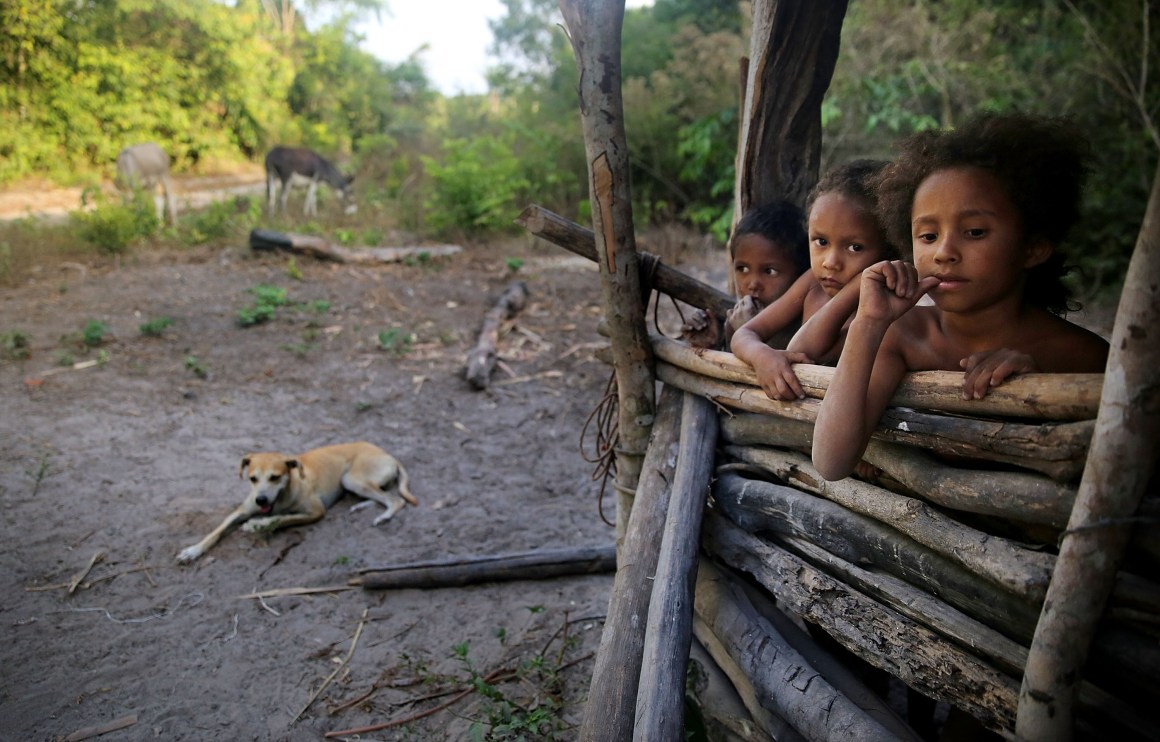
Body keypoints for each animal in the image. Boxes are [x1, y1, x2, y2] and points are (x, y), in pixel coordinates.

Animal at [176, 440, 417, 561]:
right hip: (355, 484)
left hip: (352, 479)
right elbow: (215, 532)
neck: (281, 497)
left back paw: (383, 517)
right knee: (383, 497)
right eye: (252, 478)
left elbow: (283, 519)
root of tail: (388, 454)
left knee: (396, 500)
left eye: (275, 477)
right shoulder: (240, 511)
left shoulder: (316, 512)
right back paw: (360, 506)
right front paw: (193, 550)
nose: (260, 499)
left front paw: (258, 525)